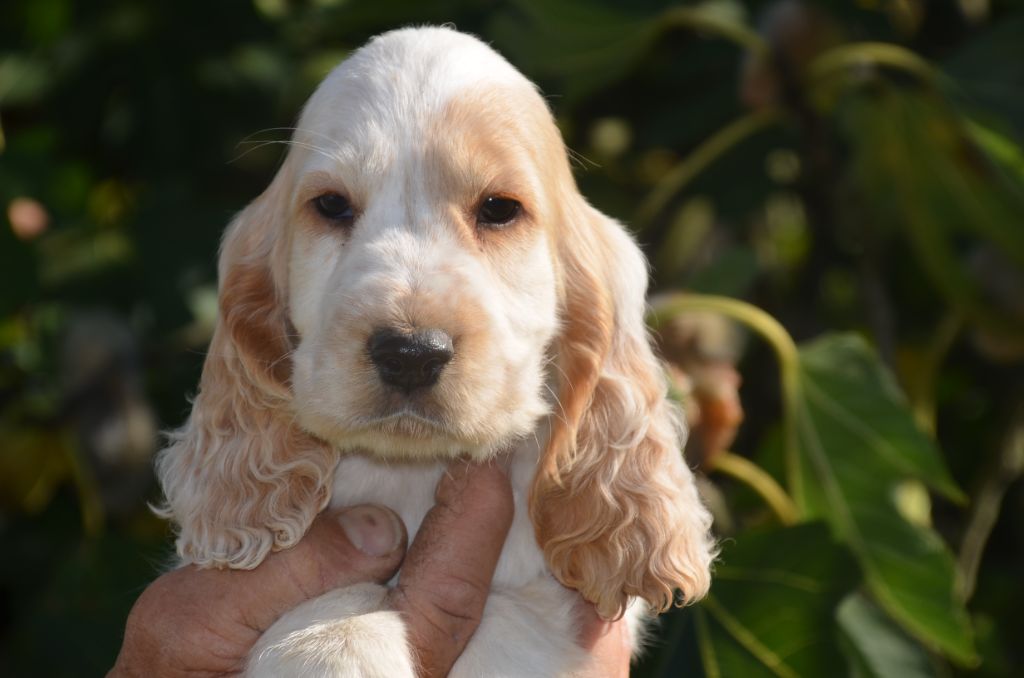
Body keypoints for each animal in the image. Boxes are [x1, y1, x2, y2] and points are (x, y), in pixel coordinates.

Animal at [157, 26, 712, 678]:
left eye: (499, 208)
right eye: (332, 206)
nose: (411, 352)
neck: (414, 473)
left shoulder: (555, 620)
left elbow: (509, 620)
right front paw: (332, 647)